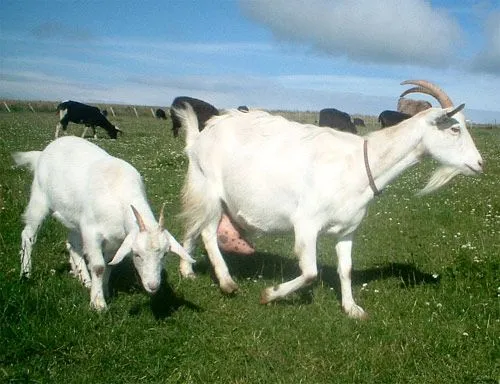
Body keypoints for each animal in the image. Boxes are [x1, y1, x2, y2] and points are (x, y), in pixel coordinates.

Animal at [13, 136, 193, 310]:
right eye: (136, 254)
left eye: (165, 254)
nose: (153, 286)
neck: (119, 194)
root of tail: (43, 152)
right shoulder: (91, 232)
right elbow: (99, 267)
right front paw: (98, 303)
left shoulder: (117, 240)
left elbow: (109, 264)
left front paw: (104, 291)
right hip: (39, 199)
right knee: (28, 236)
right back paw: (26, 273)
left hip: (74, 219)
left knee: (73, 244)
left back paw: (84, 279)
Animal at [176, 80, 484, 318]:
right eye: (455, 128)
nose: (480, 164)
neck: (360, 164)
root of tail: (199, 136)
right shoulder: (306, 224)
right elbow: (310, 272)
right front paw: (270, 294)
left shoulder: (348, 229)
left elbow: (345, 269)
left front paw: (352, 309)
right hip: (208, 188)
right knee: (206, 231)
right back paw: (226, 282)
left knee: (193, 225)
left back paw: (187, 270)